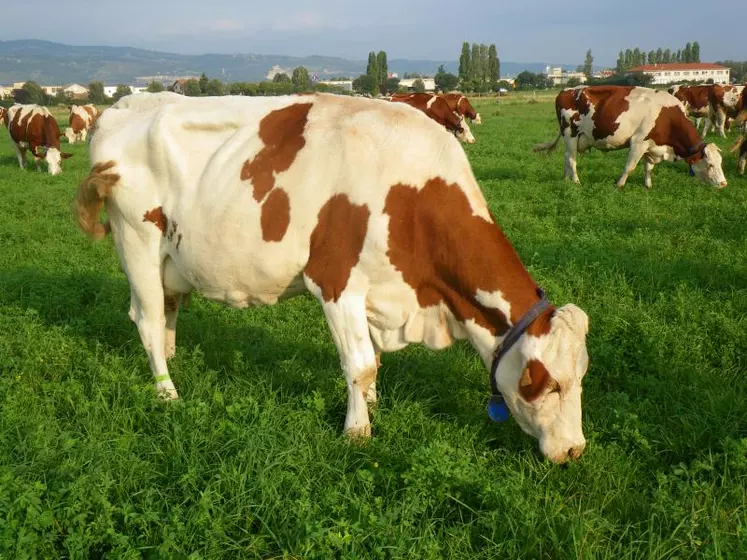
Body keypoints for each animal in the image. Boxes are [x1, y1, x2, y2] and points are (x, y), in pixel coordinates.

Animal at [73, 92, 592, 464]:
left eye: (582, 377)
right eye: (548, 383)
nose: (574, 450)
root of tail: (123, 106)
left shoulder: (381, 292)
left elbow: (375, 360)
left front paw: (374, 404)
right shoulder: (337, 284)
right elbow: (359, 364)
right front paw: (357, 431)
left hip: (172, 259)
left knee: (167, 312)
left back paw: (173, 358)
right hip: (137, 242)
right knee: (145, 317)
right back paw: (167, 392)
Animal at [536, 85, 728, 189]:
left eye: (720, 162)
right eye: (710, 164)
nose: (723, 183)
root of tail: (566, 90)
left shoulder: (651, 145)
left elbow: (648, 167)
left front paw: (648, 186)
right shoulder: (638, 142)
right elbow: (630, 167)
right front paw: (619, 185)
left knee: (566, 158)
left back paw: (565, 179)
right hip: (570, 133)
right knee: (571, 159)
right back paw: (576, 182)